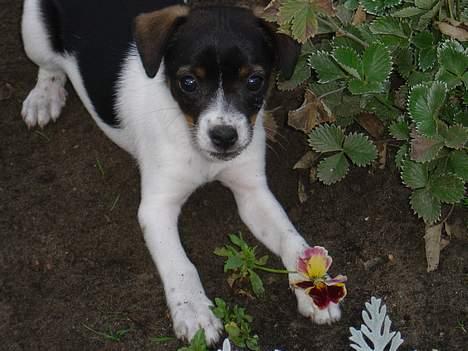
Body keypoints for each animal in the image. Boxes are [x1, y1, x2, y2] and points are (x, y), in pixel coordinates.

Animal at [20, 0, 342, 344]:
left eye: (255, 81)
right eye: (188, 82)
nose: (224, 136)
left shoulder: (252, 192)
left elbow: (291, 239)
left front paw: (315, 286)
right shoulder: (156, 208)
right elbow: (180, 264)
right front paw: (195, 311)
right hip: (34, 32)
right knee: (49, 67)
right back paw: (44, 97)